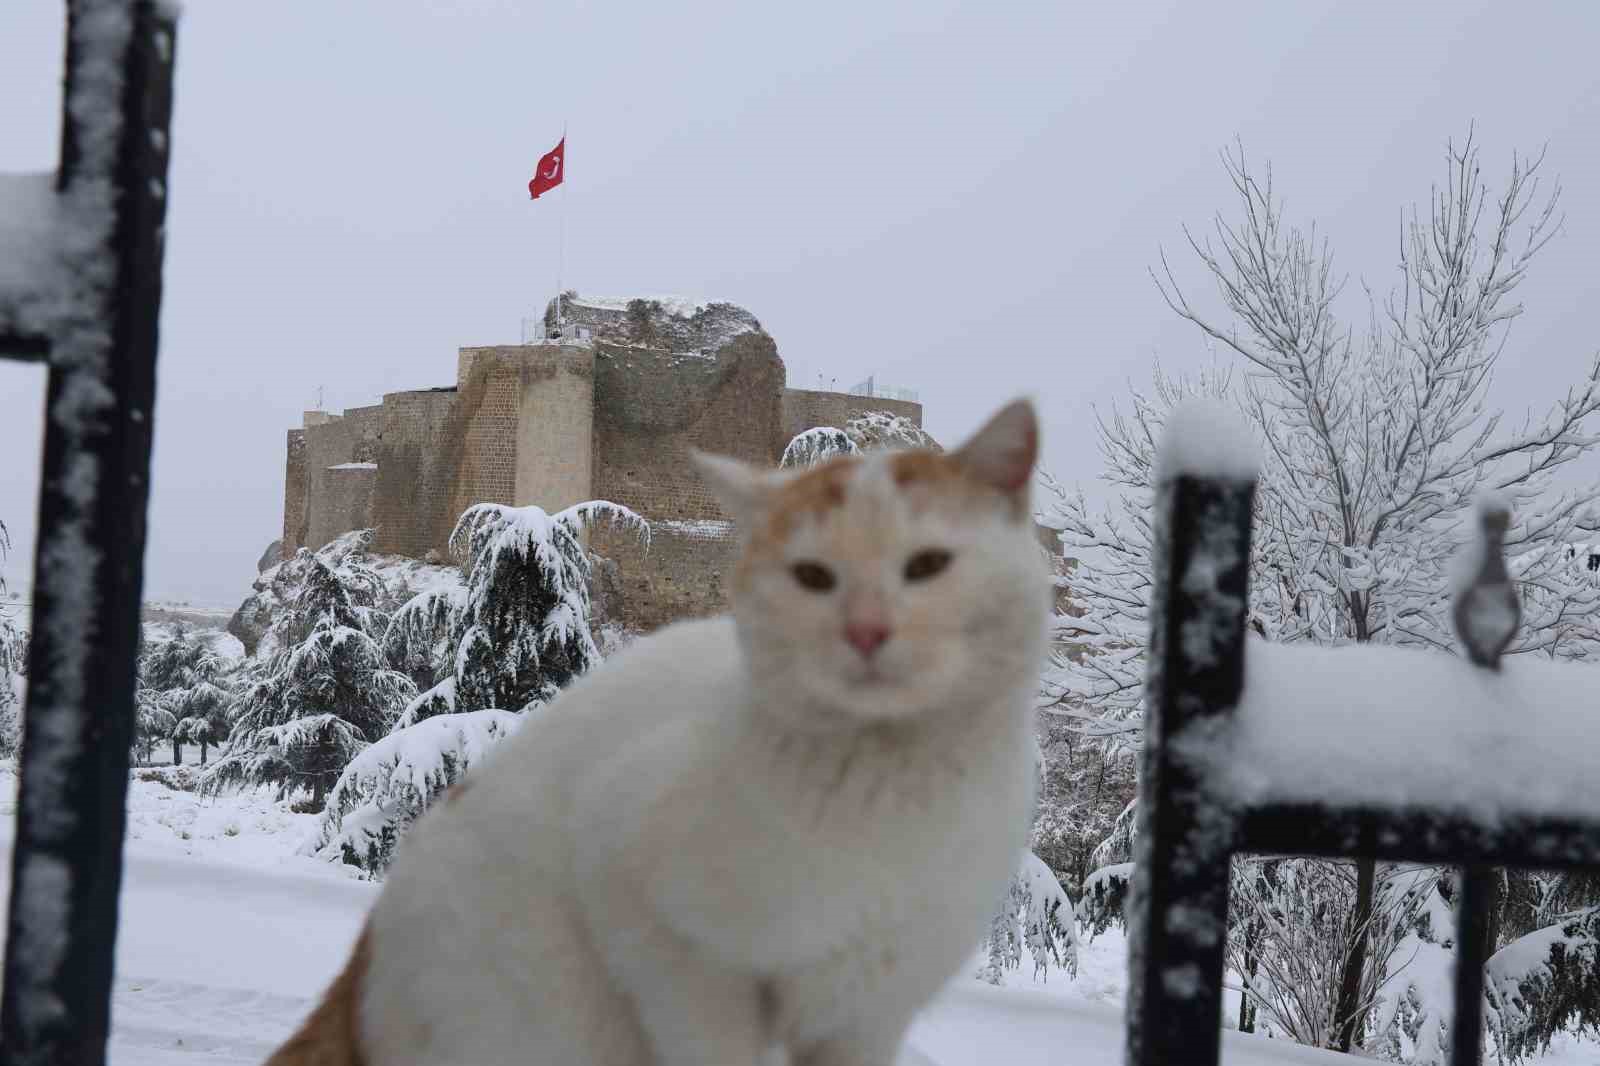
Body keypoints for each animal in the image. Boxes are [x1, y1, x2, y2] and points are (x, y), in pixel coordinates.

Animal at [268, 398, 1049, 1062]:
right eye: (812, 576)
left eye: (928, 565)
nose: (867, 631)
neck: (888, 787)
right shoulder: (662, 937)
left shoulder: (864, 1015)